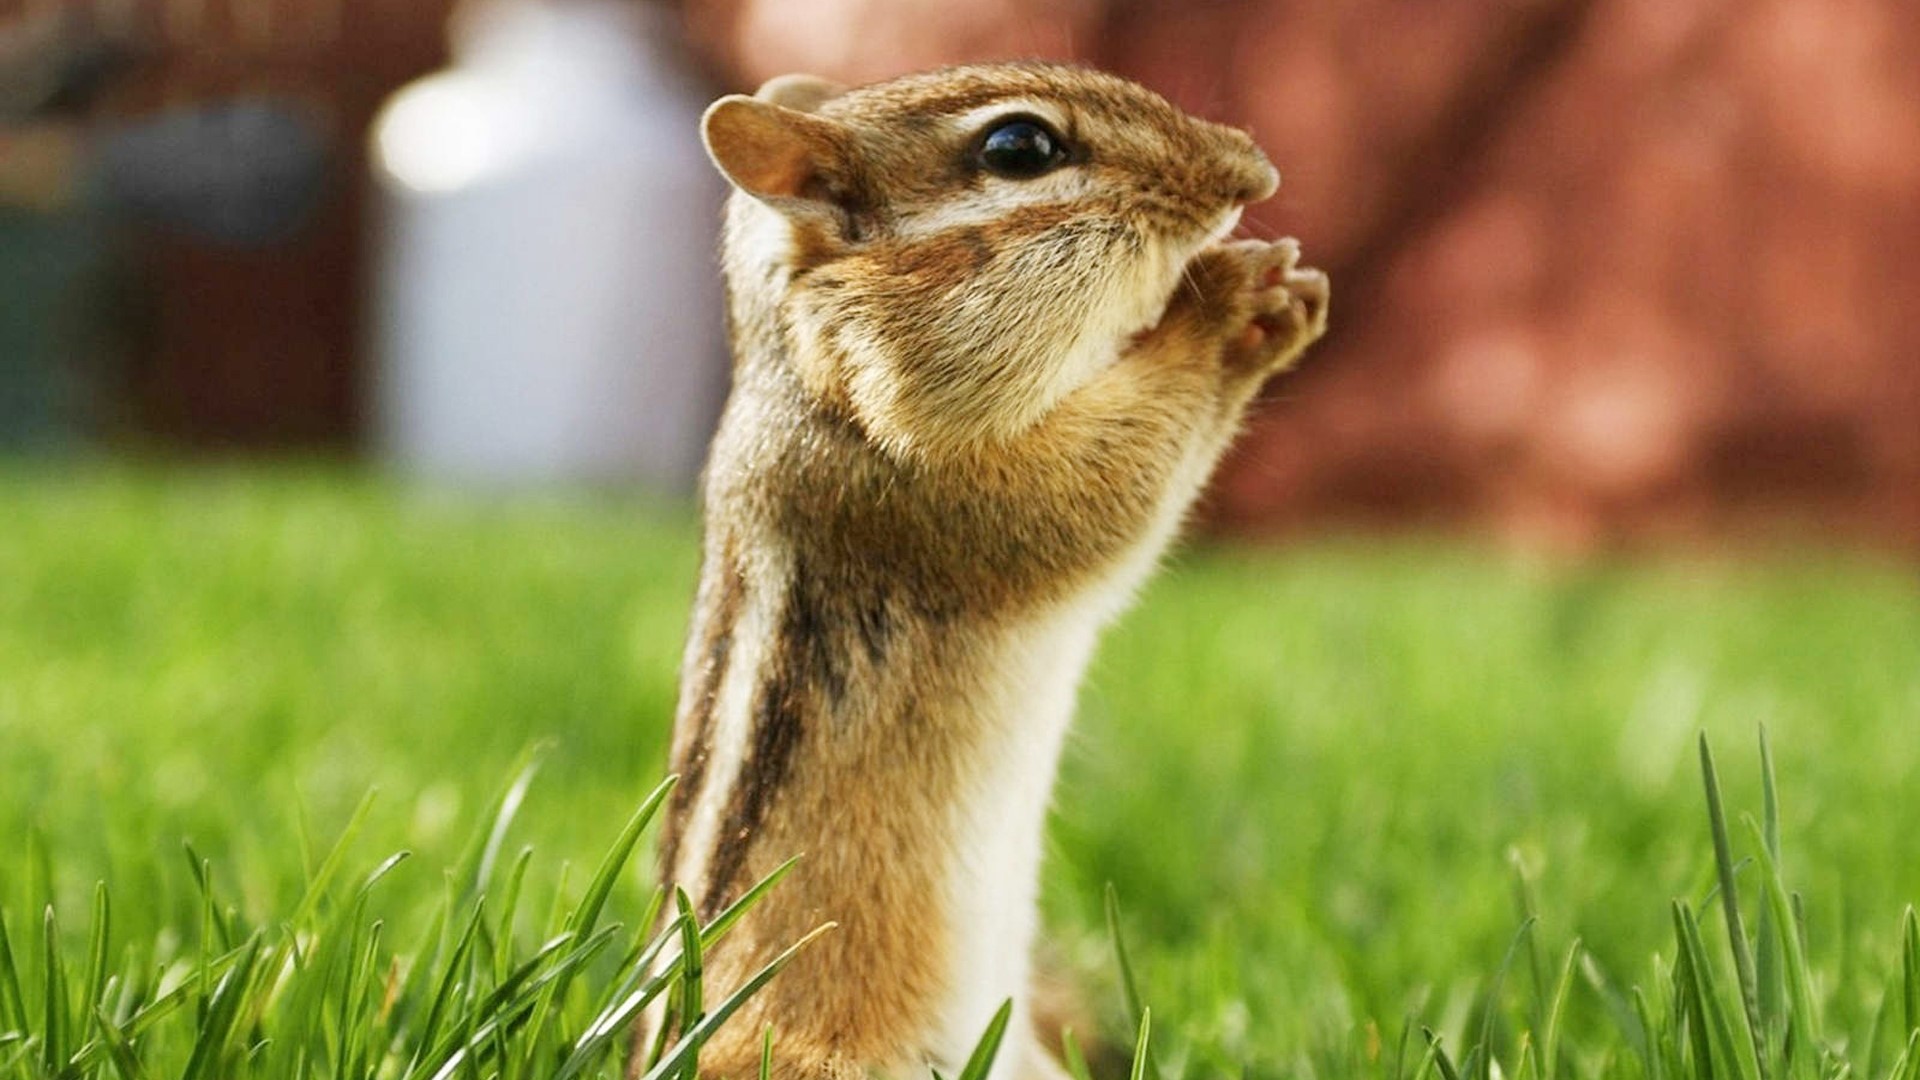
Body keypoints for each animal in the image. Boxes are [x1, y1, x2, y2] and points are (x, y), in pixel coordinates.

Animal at [638, 62, 1328, 1080]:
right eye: (1020, 148)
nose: (1257, 171)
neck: (811, 373)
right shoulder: (931, 487)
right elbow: (1102, 496)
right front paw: (1233, 308)